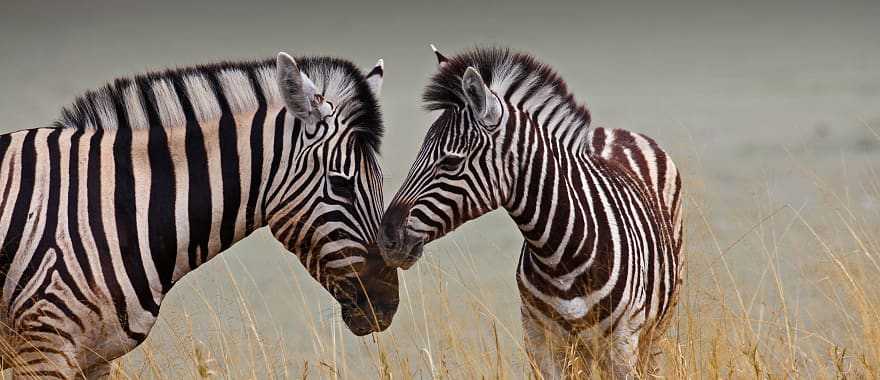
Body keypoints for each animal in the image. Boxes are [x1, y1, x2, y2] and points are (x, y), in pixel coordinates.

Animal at [0, 52, 398, 378]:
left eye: (381, 182)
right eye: (341, 185)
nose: (387, 305)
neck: (121, 206)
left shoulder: (96, 356)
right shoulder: (43, 348)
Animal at [376, 47, 680, 378]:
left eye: (450, 162)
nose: (386, 238)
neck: (561, 255)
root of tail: (614, 131)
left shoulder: (623, 342)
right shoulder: (539, 340)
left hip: (654, 331)